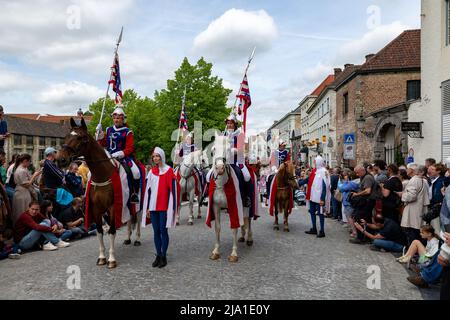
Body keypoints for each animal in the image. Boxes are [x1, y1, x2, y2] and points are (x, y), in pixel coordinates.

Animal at [57, 119, 139, 268]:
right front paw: (102, 257)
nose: (61, 159)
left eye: (80, 137)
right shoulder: (96, 208)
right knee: (130, 220)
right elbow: (100, 231)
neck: (102, 174)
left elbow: (112, 231)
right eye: (66, 136)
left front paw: (111, 259)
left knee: (139, 219)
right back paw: (128, 238)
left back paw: (137, 239)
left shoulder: (113, 207)